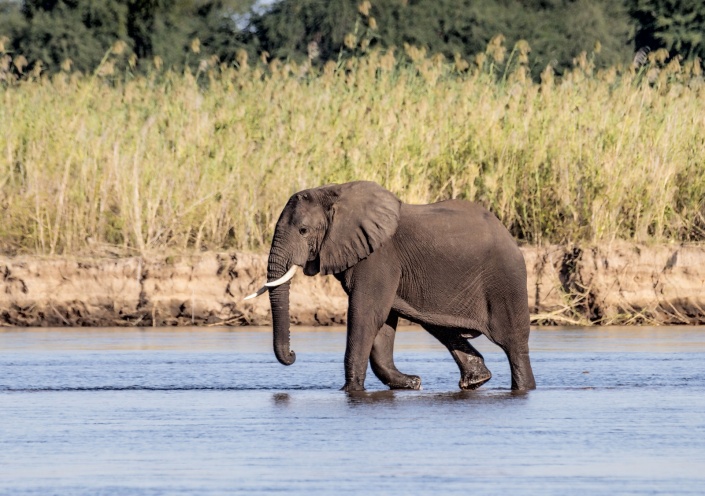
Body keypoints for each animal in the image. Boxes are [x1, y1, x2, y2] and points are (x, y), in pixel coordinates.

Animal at [245, 181, 536, 392]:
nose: (294, 354)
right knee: (437, 325)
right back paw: (476, 380)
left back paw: (523, 387)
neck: (334, 193)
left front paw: (350, 391)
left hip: (505, 281)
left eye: (303, 231)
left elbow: (365, 314)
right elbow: (382, 321)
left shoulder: (378, 257)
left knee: (513, 344)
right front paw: (412, 383)